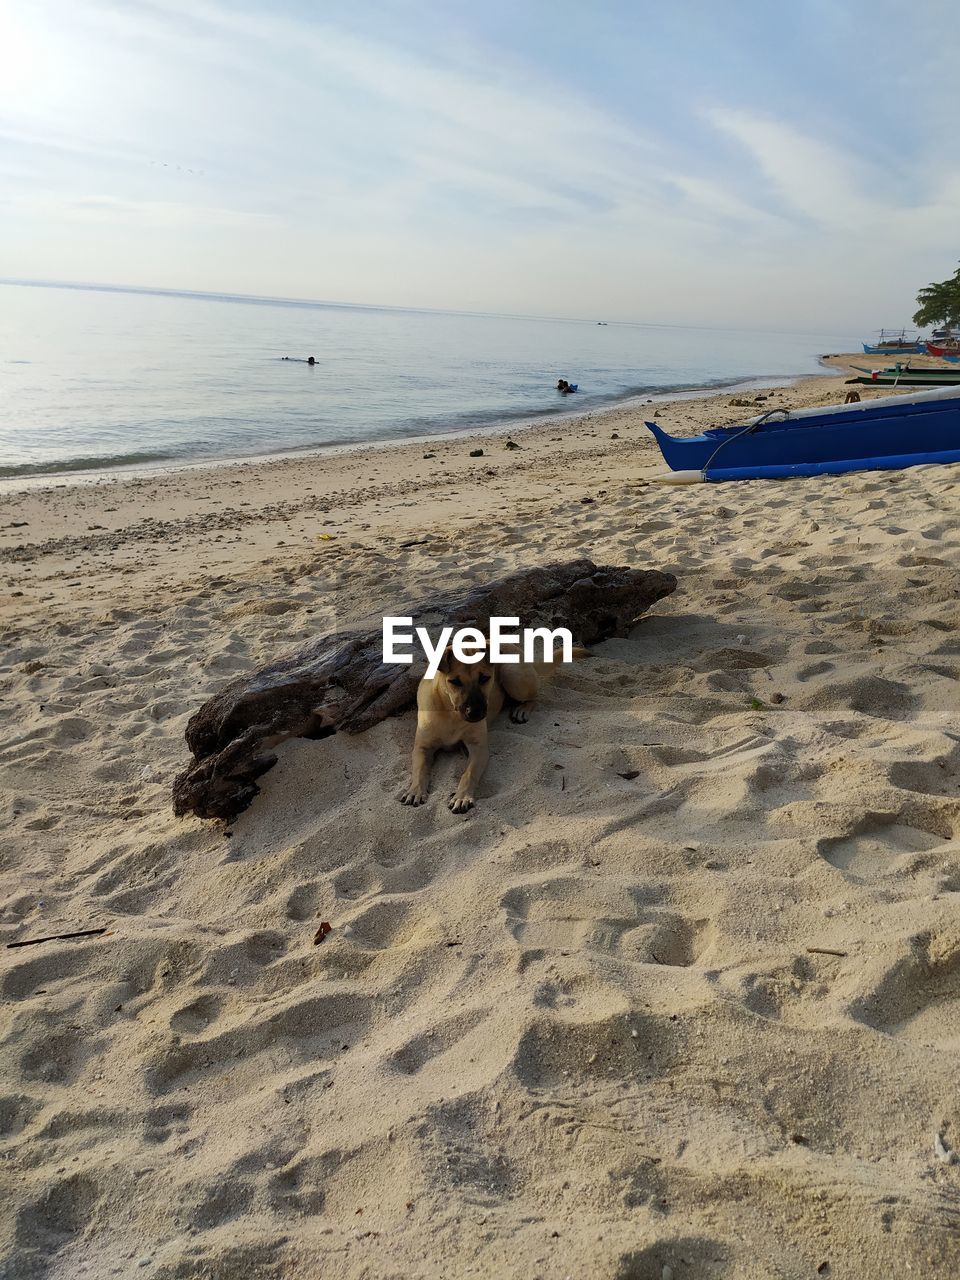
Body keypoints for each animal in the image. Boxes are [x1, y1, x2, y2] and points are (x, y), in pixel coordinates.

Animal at [399, 645, 586, 814]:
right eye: (455, 681)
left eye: (484, 678)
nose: (475, 713)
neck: (451, 714)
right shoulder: (422, 748)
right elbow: (419, 770)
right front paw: (415, 791)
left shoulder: (479, 749)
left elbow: (468, 774)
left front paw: (462, 797)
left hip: (513, 676)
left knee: (535, 697)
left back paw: (522, 709)